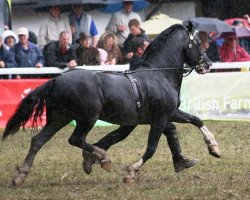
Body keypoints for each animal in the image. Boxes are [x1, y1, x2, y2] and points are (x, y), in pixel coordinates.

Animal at [1, 24, 217, 186]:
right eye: (198, 43)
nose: (208, 64)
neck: (159, 75)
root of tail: (57, 79)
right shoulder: (160, 118)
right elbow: (151, 148)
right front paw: (131, 172)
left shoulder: (167, 115)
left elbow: (193, 121)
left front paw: (209, 149)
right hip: (87, 118)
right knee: (75, 139)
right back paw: (103, 157)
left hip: (59, 118)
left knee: (38, 140)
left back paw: (20, 175)